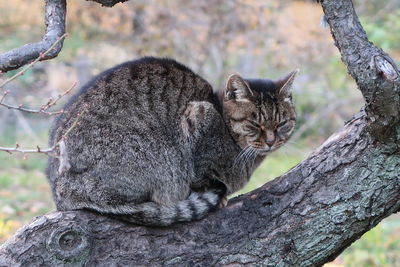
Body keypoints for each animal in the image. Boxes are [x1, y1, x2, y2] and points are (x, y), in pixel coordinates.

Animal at [46, 56, 296, 226]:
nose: (271, 141)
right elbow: (202, 176)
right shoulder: (199, 114)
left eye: (282, 124)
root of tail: (60, 188)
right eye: (255, 124)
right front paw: (219, 195)